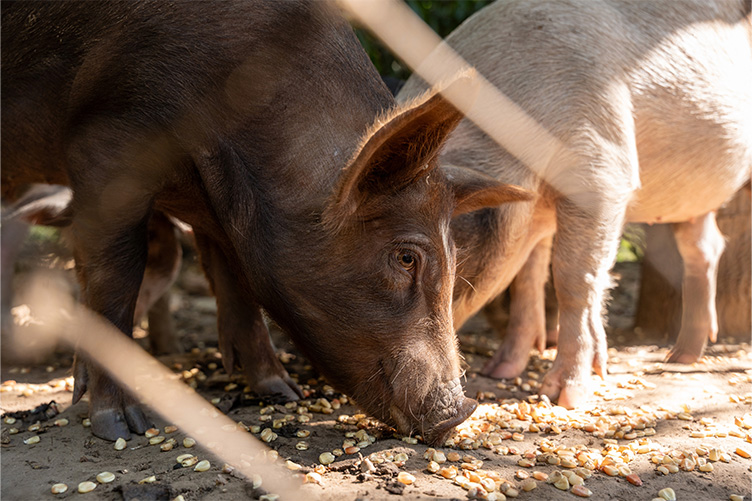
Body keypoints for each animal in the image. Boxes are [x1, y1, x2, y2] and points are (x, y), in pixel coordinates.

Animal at [1, 1, 532, 443]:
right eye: (405, 256)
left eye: (455, 256)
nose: (460, 411)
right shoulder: (105, 143)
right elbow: (116, 277)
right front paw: (123, 427)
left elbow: (235, 278)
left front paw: (280, 390)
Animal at [399, 0, 752, 407]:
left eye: (409, 256)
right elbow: (529, 279)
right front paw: (501, 371)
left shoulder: (603, 173)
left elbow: (572, 278)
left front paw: (563, 396)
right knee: (705, 247)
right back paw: (680, 357)